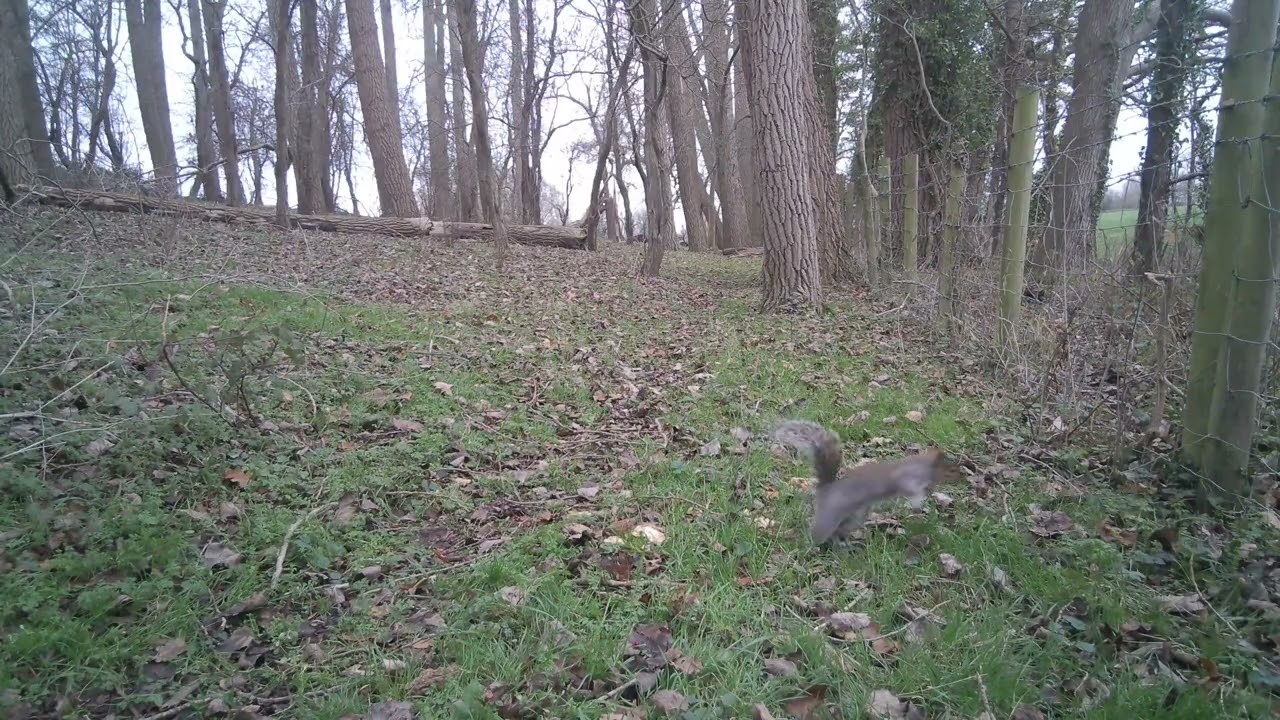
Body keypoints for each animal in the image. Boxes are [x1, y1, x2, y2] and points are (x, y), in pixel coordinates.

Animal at [773, 419, 956, 545]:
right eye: (949, 469)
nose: (957, 479)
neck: (922, 465)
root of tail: (825, 490)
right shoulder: (906, 477)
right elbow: (911, 489)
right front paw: (919, 500)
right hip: (830, 516)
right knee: (821, 533)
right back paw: (811, 545)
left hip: (855, 517)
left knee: (839, 531)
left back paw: (845, 544)